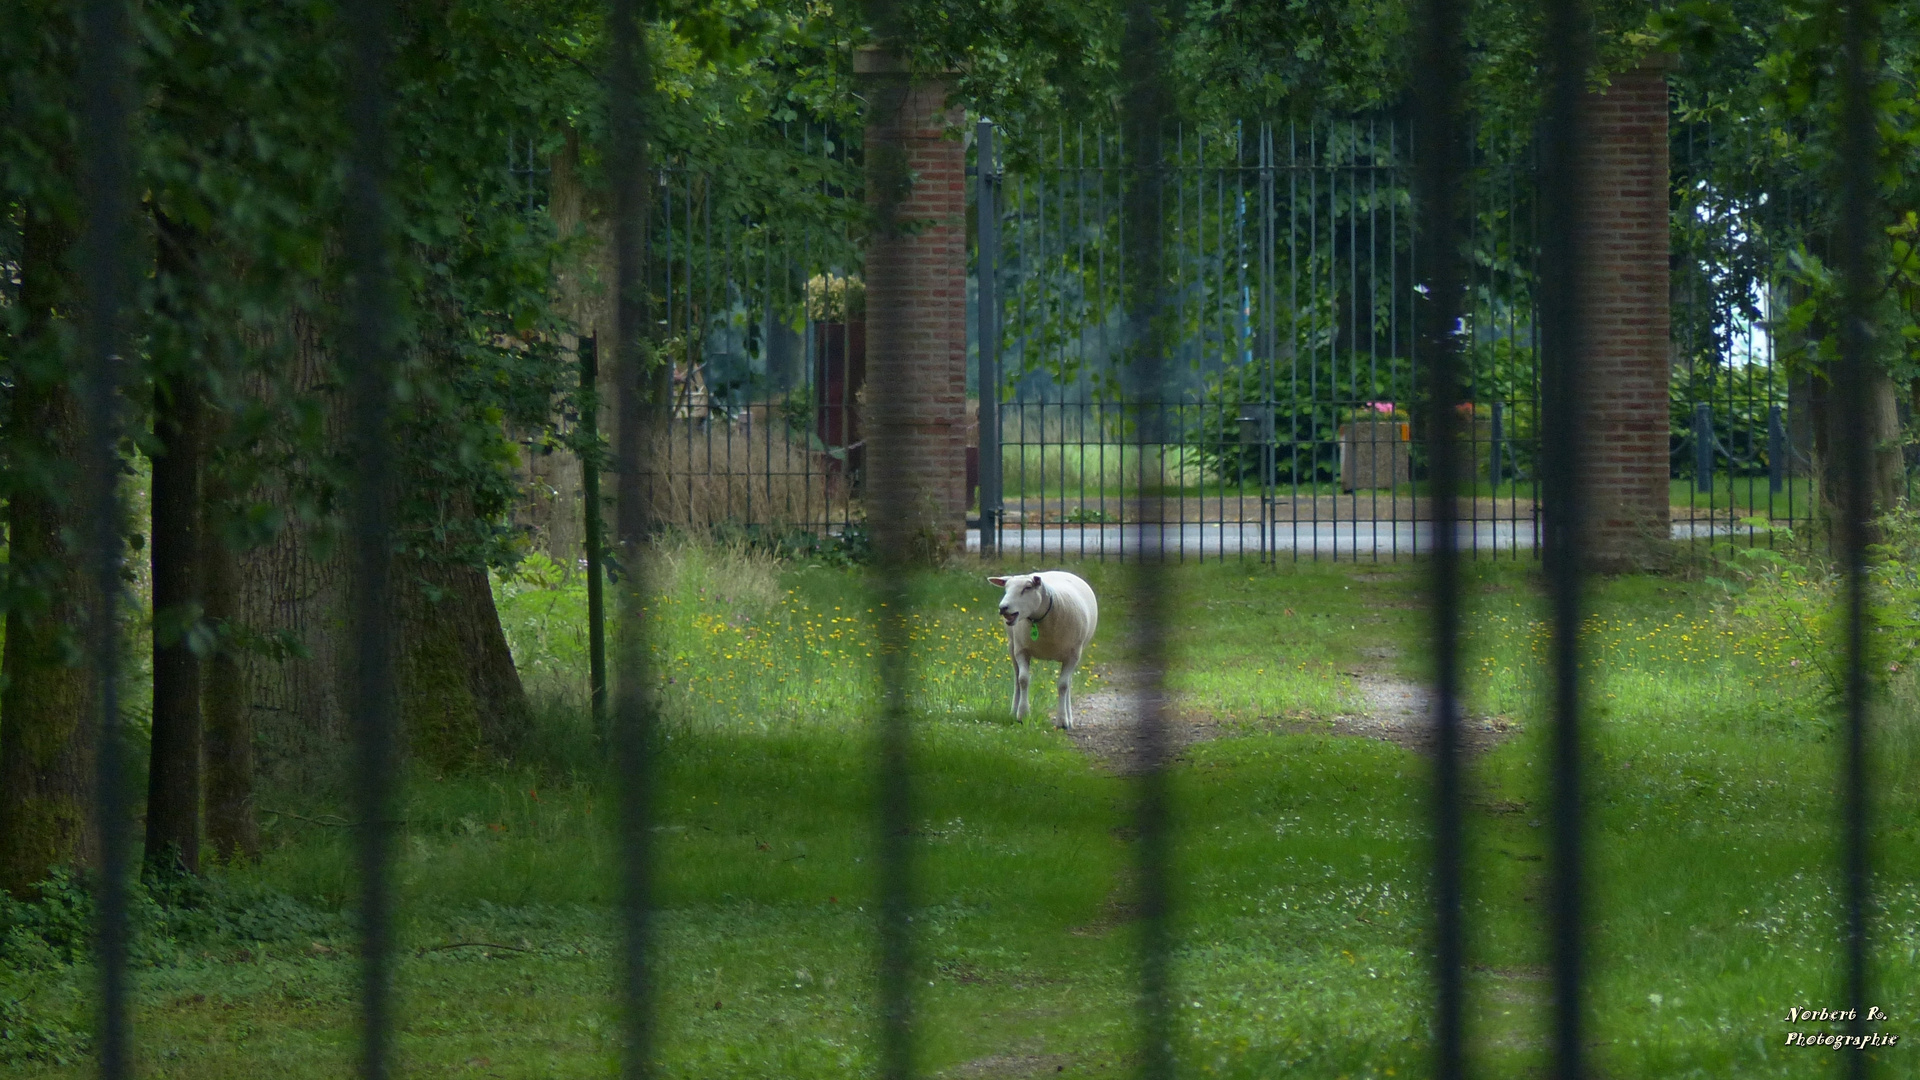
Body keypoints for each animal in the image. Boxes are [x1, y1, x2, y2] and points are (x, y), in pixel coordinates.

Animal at [983, 568, 1105, 726]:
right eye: (1006, 588)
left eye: (1027, 588)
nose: (1003, 608)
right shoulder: (1021, 650)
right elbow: (1023, 680)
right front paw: (1022, 714)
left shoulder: (1073, 655)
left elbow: (1063, 685)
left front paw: (1062, 720)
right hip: (1011, 644)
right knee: (1016, 679)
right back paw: (1013, 711)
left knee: (1068, 683)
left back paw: (1069, 717)